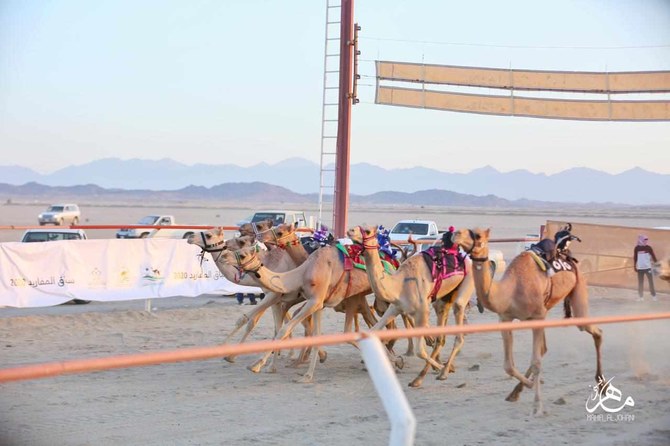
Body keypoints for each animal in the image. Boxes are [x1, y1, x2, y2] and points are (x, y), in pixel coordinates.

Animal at [350, 225, 476, 388]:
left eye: (367, 231)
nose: (350, 231)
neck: (398, 284)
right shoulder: (395, 307)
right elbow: (375, 331)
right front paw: (398, 362)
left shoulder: (422, 311)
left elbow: (419, 351)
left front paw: (440, 367)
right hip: (444, 299)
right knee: (441, 336)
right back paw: (425, 375)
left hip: (467, 283)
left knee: (458, 328)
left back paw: (443, 371)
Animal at [454, 228, 608, 416]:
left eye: (478, 235)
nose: (455, 234)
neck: (509, 291)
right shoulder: (505, 318)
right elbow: (508, 365)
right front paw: (527, 385)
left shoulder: (536, 316)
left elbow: (536, 362)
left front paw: (537, 405)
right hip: (547, 308)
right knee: (544, 348)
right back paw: (515, 392)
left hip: (578, 289)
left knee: (595, 331)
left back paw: (602, 384)